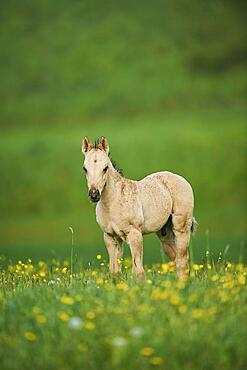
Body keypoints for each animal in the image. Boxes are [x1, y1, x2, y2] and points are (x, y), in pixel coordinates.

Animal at [82, 136, 196, 278]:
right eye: (85, 168)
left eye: (105, 167)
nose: (94, 194)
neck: (112, 202)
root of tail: (180, 178)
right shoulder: (110, 237)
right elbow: (114, 270)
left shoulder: (134, 234)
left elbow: (138, 271)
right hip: (164, 232)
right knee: (175, 257)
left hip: (181, 226)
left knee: (182, 260)